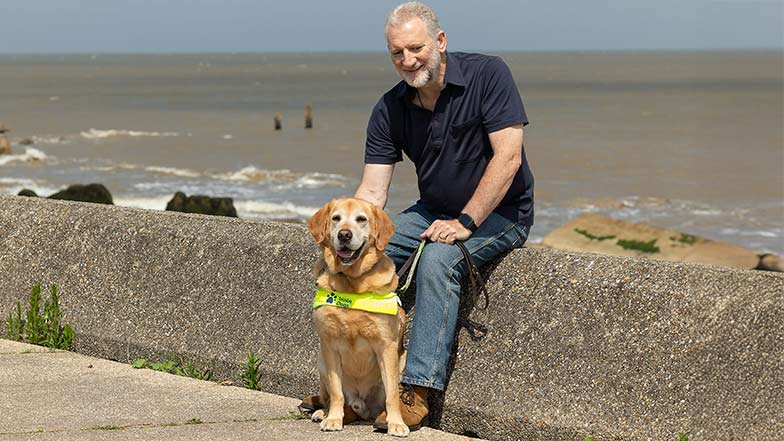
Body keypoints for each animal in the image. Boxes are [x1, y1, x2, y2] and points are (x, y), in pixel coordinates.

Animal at [304, 198, 408, 434]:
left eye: (361, 219)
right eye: (336, 218)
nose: (344, 235)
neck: (352, 284)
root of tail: (363, 407)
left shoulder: (386, 345)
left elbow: (392, 395)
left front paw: (396, 423)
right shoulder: (330, 344)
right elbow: (336, 393)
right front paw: (333, 418)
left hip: (401, 362)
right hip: (321, 361)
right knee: (336, 398)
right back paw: (323, 412)